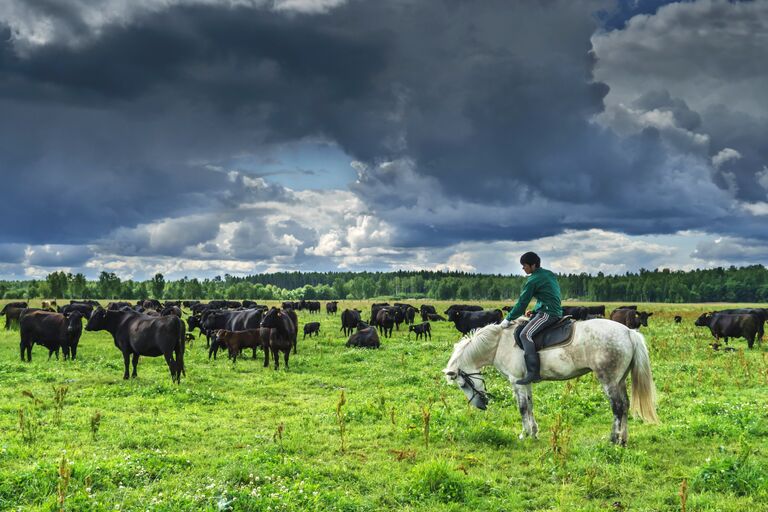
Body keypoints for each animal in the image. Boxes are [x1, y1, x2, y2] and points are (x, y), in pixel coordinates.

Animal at [444, 320, 660, 444]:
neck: (499, 344)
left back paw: (614, 439)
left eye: (462, 384)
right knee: (625, 406)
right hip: (619, 380)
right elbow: (530, 406)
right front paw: (533, 433)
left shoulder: (516, 382)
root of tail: (628, 332)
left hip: (609, 380)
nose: (481, 405)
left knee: (617, 407)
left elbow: (522, 408)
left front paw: (524, 435)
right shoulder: (525, 382)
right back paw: (623, 439)